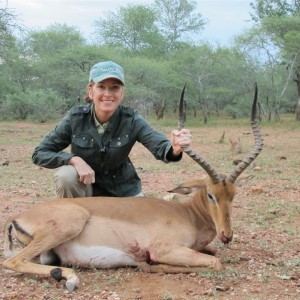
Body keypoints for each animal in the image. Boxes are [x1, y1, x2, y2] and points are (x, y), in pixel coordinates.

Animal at [2, 84, 262, 290]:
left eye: (233, 195)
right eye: (210, 195)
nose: (227, 235)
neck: (188, 215)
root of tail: (17, 218)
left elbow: (214, 254)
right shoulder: (165, 249)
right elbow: (214, 262)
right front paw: (149, 264)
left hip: (45, 254)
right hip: (67, 225)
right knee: (10, 262)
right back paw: (72, 278)